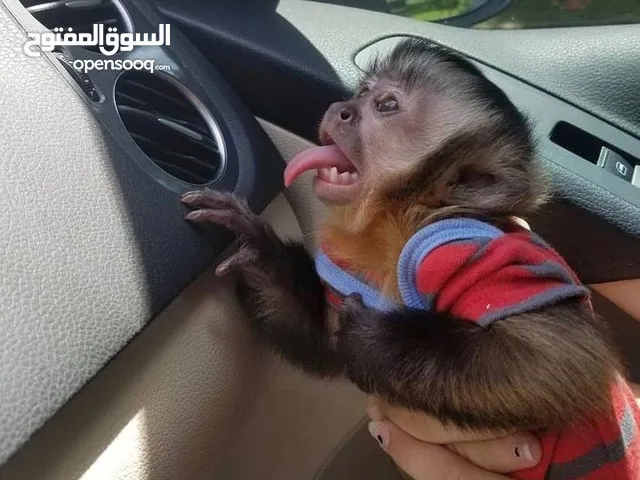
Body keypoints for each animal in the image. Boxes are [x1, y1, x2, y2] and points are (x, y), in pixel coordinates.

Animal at [180, 39, 640, 479]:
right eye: (362, 93)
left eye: (385, 105)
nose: (341, 109)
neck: (397, 222)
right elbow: (325, 345)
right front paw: (259, 250)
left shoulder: (461, 247)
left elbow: (561, 361)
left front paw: (366, 337)